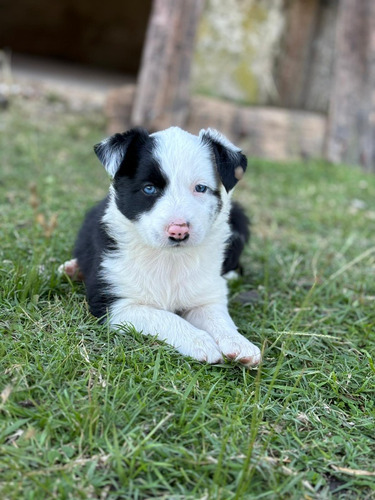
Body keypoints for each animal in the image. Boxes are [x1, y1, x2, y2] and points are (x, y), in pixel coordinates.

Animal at [61, 125, 262, 368]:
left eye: (200, 188)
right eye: (149, 189)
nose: (179, 231)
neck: (169, 258)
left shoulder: (205, 297)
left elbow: (218, 317)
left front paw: (239, 343)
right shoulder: (115, 303)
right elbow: (164, 316)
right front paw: (200, 341)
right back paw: (72, 269)